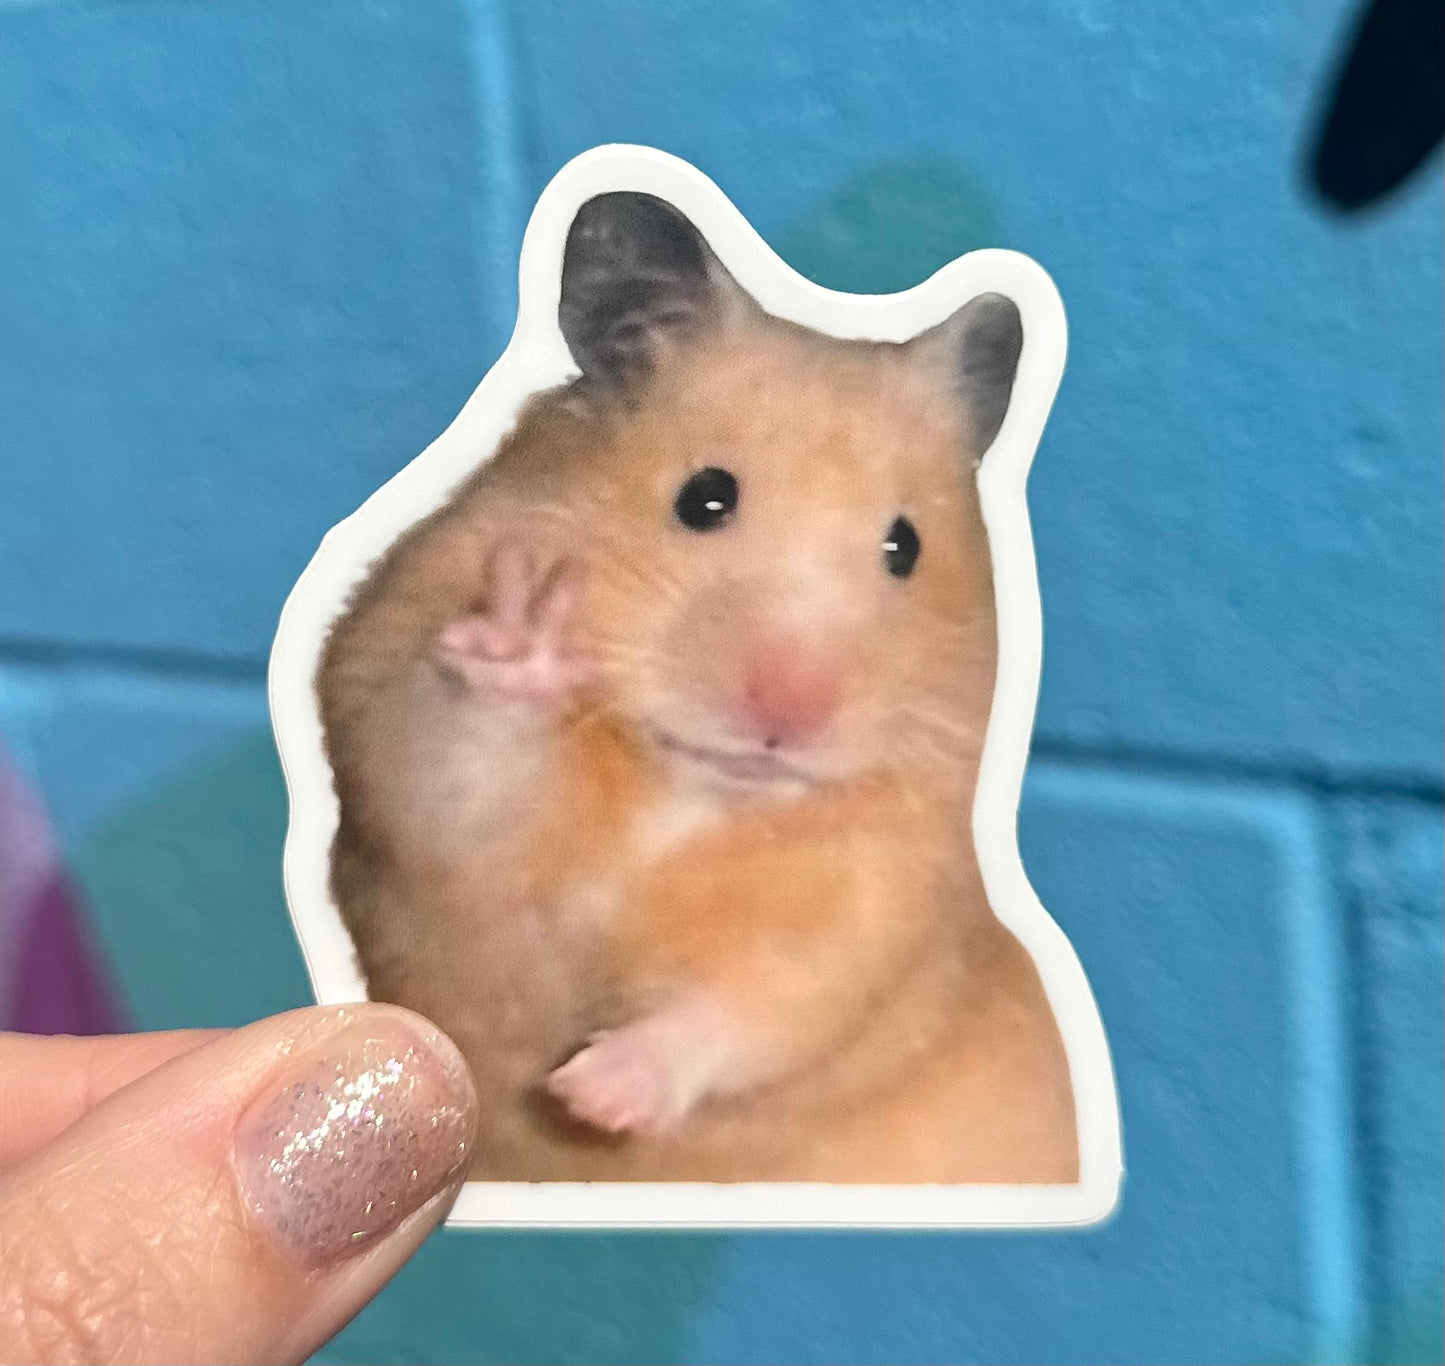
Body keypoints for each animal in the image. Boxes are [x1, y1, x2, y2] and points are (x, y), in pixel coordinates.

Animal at [316, 192, 1078, 1183]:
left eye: (904, 546)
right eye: (703, 498)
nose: (787, 716)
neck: (690, 792)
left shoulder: (878, 902)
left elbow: (759, 1003)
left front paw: (591, 1094)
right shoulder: (399, 760)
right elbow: (457, 766)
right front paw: (526, 633)